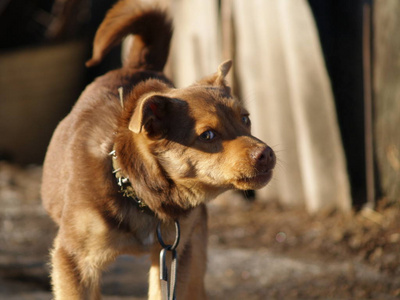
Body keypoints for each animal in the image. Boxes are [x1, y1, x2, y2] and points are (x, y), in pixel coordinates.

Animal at [42, 1, 276, 298]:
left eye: (246, 119)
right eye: (208, 135)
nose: (267, 154)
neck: (136, 190)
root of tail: (137, 66)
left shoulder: (176, 253)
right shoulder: (74, 261)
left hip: (194, 252)